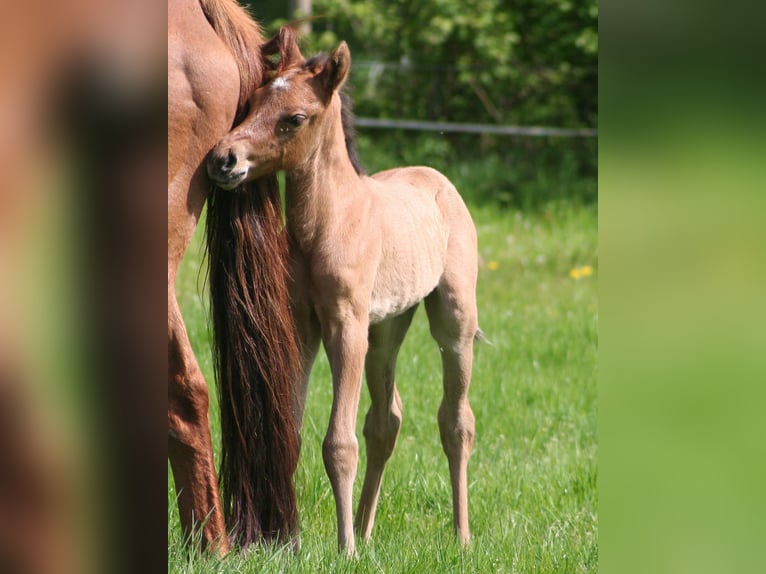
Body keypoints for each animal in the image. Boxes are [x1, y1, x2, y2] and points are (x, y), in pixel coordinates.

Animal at [204, 41, 480, 560]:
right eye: (252, 104)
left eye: (293, 118)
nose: (223, 159)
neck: (328, 225)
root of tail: (438, 179)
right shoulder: (304, 327)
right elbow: (293, 434)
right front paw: (297, 540)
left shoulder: (345, 327)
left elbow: (339, 443)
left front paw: (345, 548)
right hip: (386, 328)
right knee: (385, 421)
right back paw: (370, 532)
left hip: (452, 318)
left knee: (456, 421)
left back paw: (461, 536)